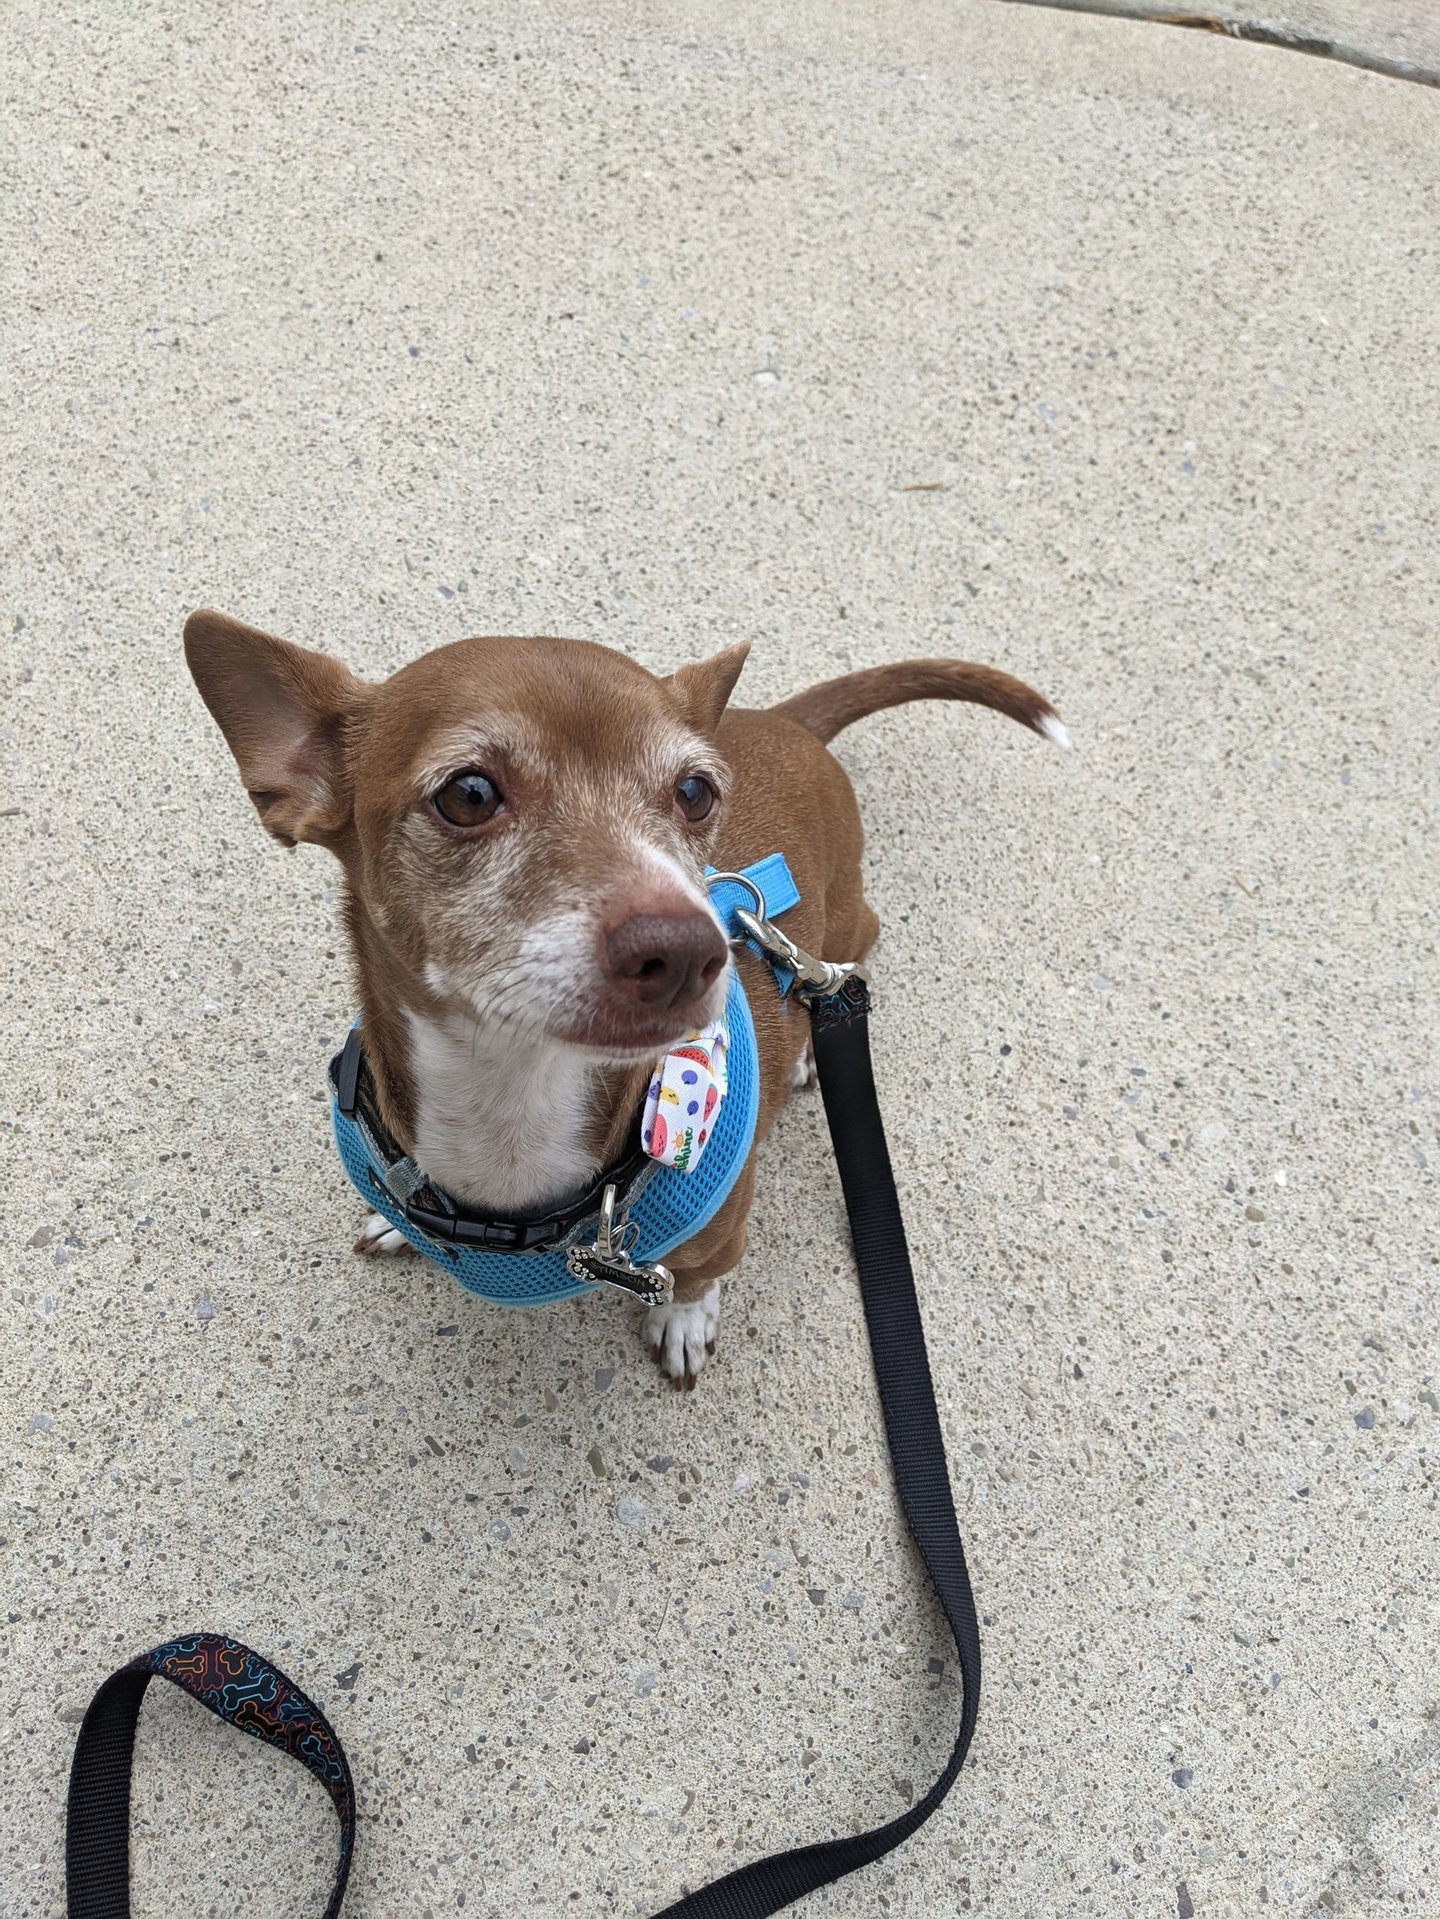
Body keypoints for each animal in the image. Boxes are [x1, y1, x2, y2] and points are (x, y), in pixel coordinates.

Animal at [185, 611, 1064, 1385]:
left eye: (695, 792)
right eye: (469, 794)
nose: (689, 950)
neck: (514, 1113)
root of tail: (789, 721)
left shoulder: (721, 1232)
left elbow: (699, 1279)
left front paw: (683, 1320)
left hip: (848, 915)